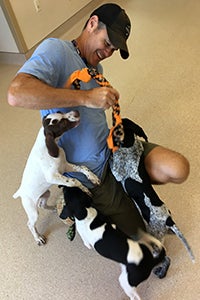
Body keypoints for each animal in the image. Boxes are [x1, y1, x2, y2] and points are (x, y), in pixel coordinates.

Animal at [13, 111, 100, 245]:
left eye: (60, 112)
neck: (49, 146)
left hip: (45, 193)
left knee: (42, 204)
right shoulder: (52, 176)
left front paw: (92, 177)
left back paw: (53, 208)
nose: (76, 112)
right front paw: (85, 189)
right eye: (63, 123)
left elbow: (83, 168)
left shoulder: (65, 166)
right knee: (30, 224)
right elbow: (74, 181)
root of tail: (21, 192)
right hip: (32, 211)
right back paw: (38, 238)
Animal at [108, 119, 195, 276]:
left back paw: (160, 271)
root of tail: (168, 220)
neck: (129, 146)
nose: (112, 121)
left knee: (165, 258)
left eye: (118, 126)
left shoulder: (117, 172)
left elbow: (112, 162)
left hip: (155, 239)